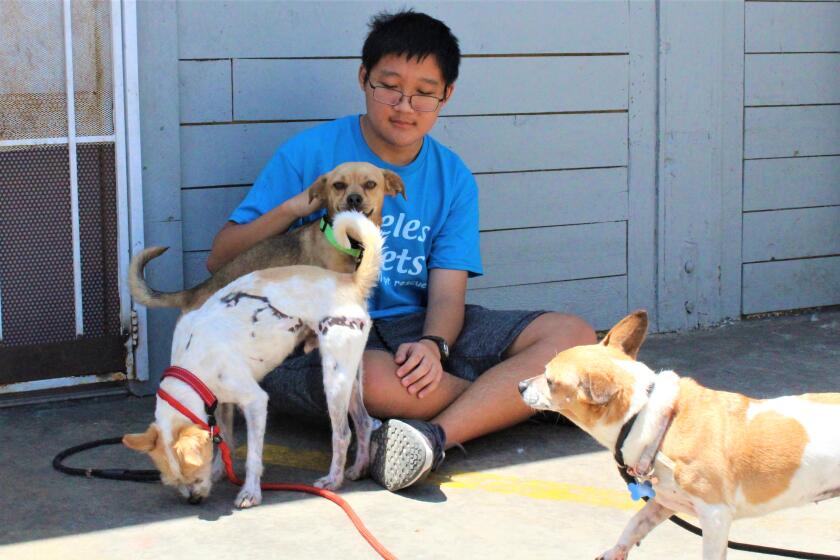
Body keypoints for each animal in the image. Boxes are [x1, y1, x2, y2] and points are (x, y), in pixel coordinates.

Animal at [123, 211, 382, 508]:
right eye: (174, 482)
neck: (192, 366)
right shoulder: (221, 404)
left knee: (342, 434)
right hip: (350, 376)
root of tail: (350, 281)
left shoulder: (256, 402)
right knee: (364, 422)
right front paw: (220, 470)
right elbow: (227, 440)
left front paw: (249, 492)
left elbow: (253, 457)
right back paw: (358, 468)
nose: (193, 501)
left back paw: (333, 480)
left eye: (193, 475)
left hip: (334, 380)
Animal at [520, 310, 840, 560]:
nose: (521, 386)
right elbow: (634, 524)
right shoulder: (662, 502)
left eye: (549, 380)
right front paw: (615, 551)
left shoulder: (715, 516)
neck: (649, 418)